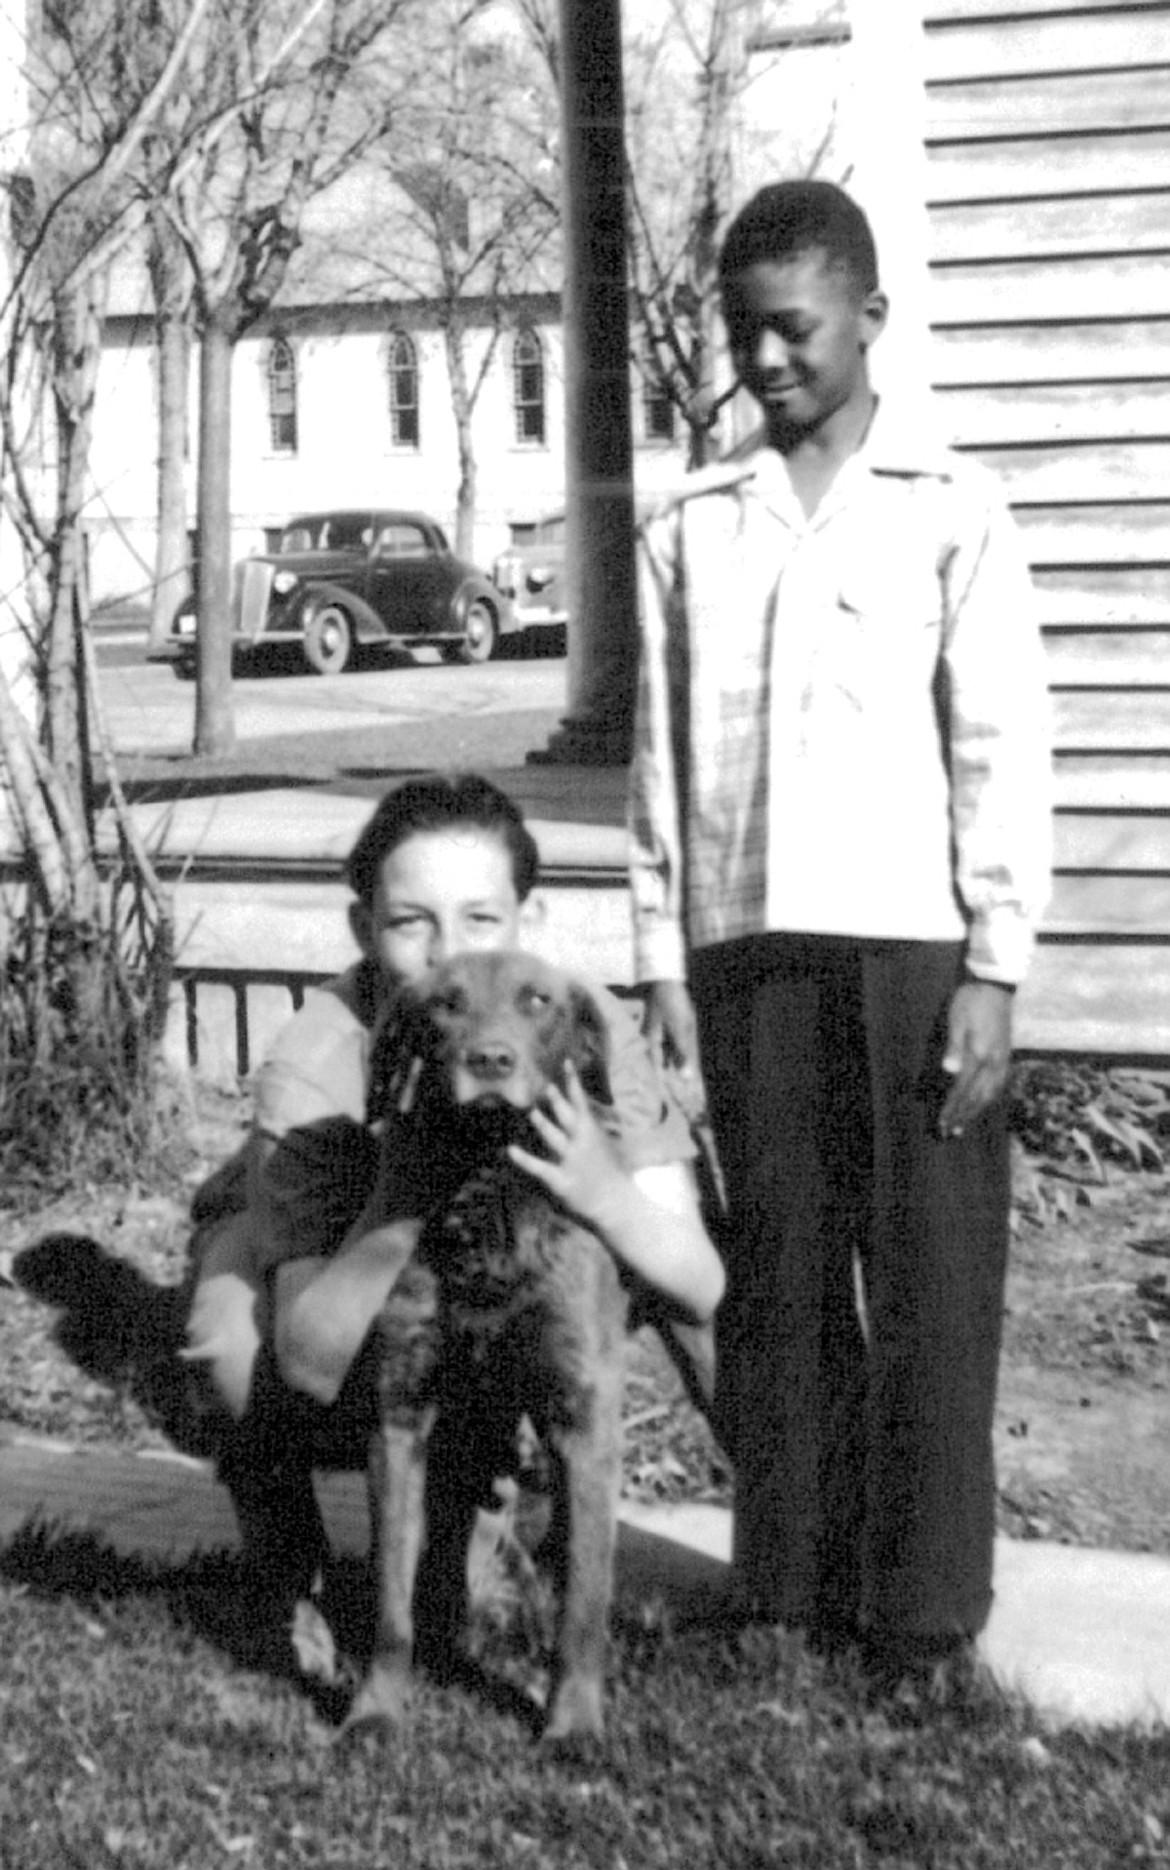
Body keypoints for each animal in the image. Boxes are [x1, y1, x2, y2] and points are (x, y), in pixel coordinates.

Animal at [343, 957, 710, 1742]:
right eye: (444, 1005)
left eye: (537, 1000)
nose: (489, 1061)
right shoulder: (399, 1416)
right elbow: (391, 1598)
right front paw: (376, 1710)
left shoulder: (584, 1417)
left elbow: (585, 1604)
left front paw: (572, 1726)